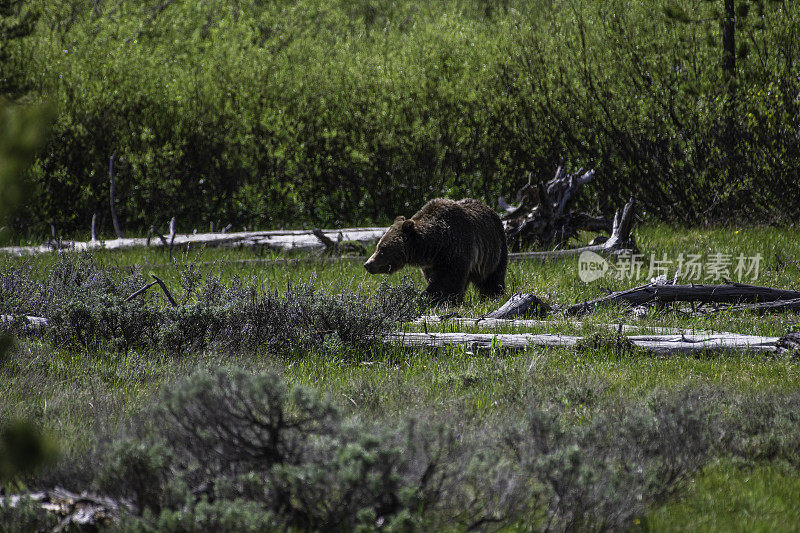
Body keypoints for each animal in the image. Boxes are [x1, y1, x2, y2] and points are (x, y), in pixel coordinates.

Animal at [362, 196, 506, 306]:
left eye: (382, 249)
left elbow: (447, 281)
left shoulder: (456, 249)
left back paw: (493, 296)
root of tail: (491, 209)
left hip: (495, 249)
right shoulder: (430, 264)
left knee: (493, 277)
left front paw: (432, 298)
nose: (367, 264)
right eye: (378, 246)